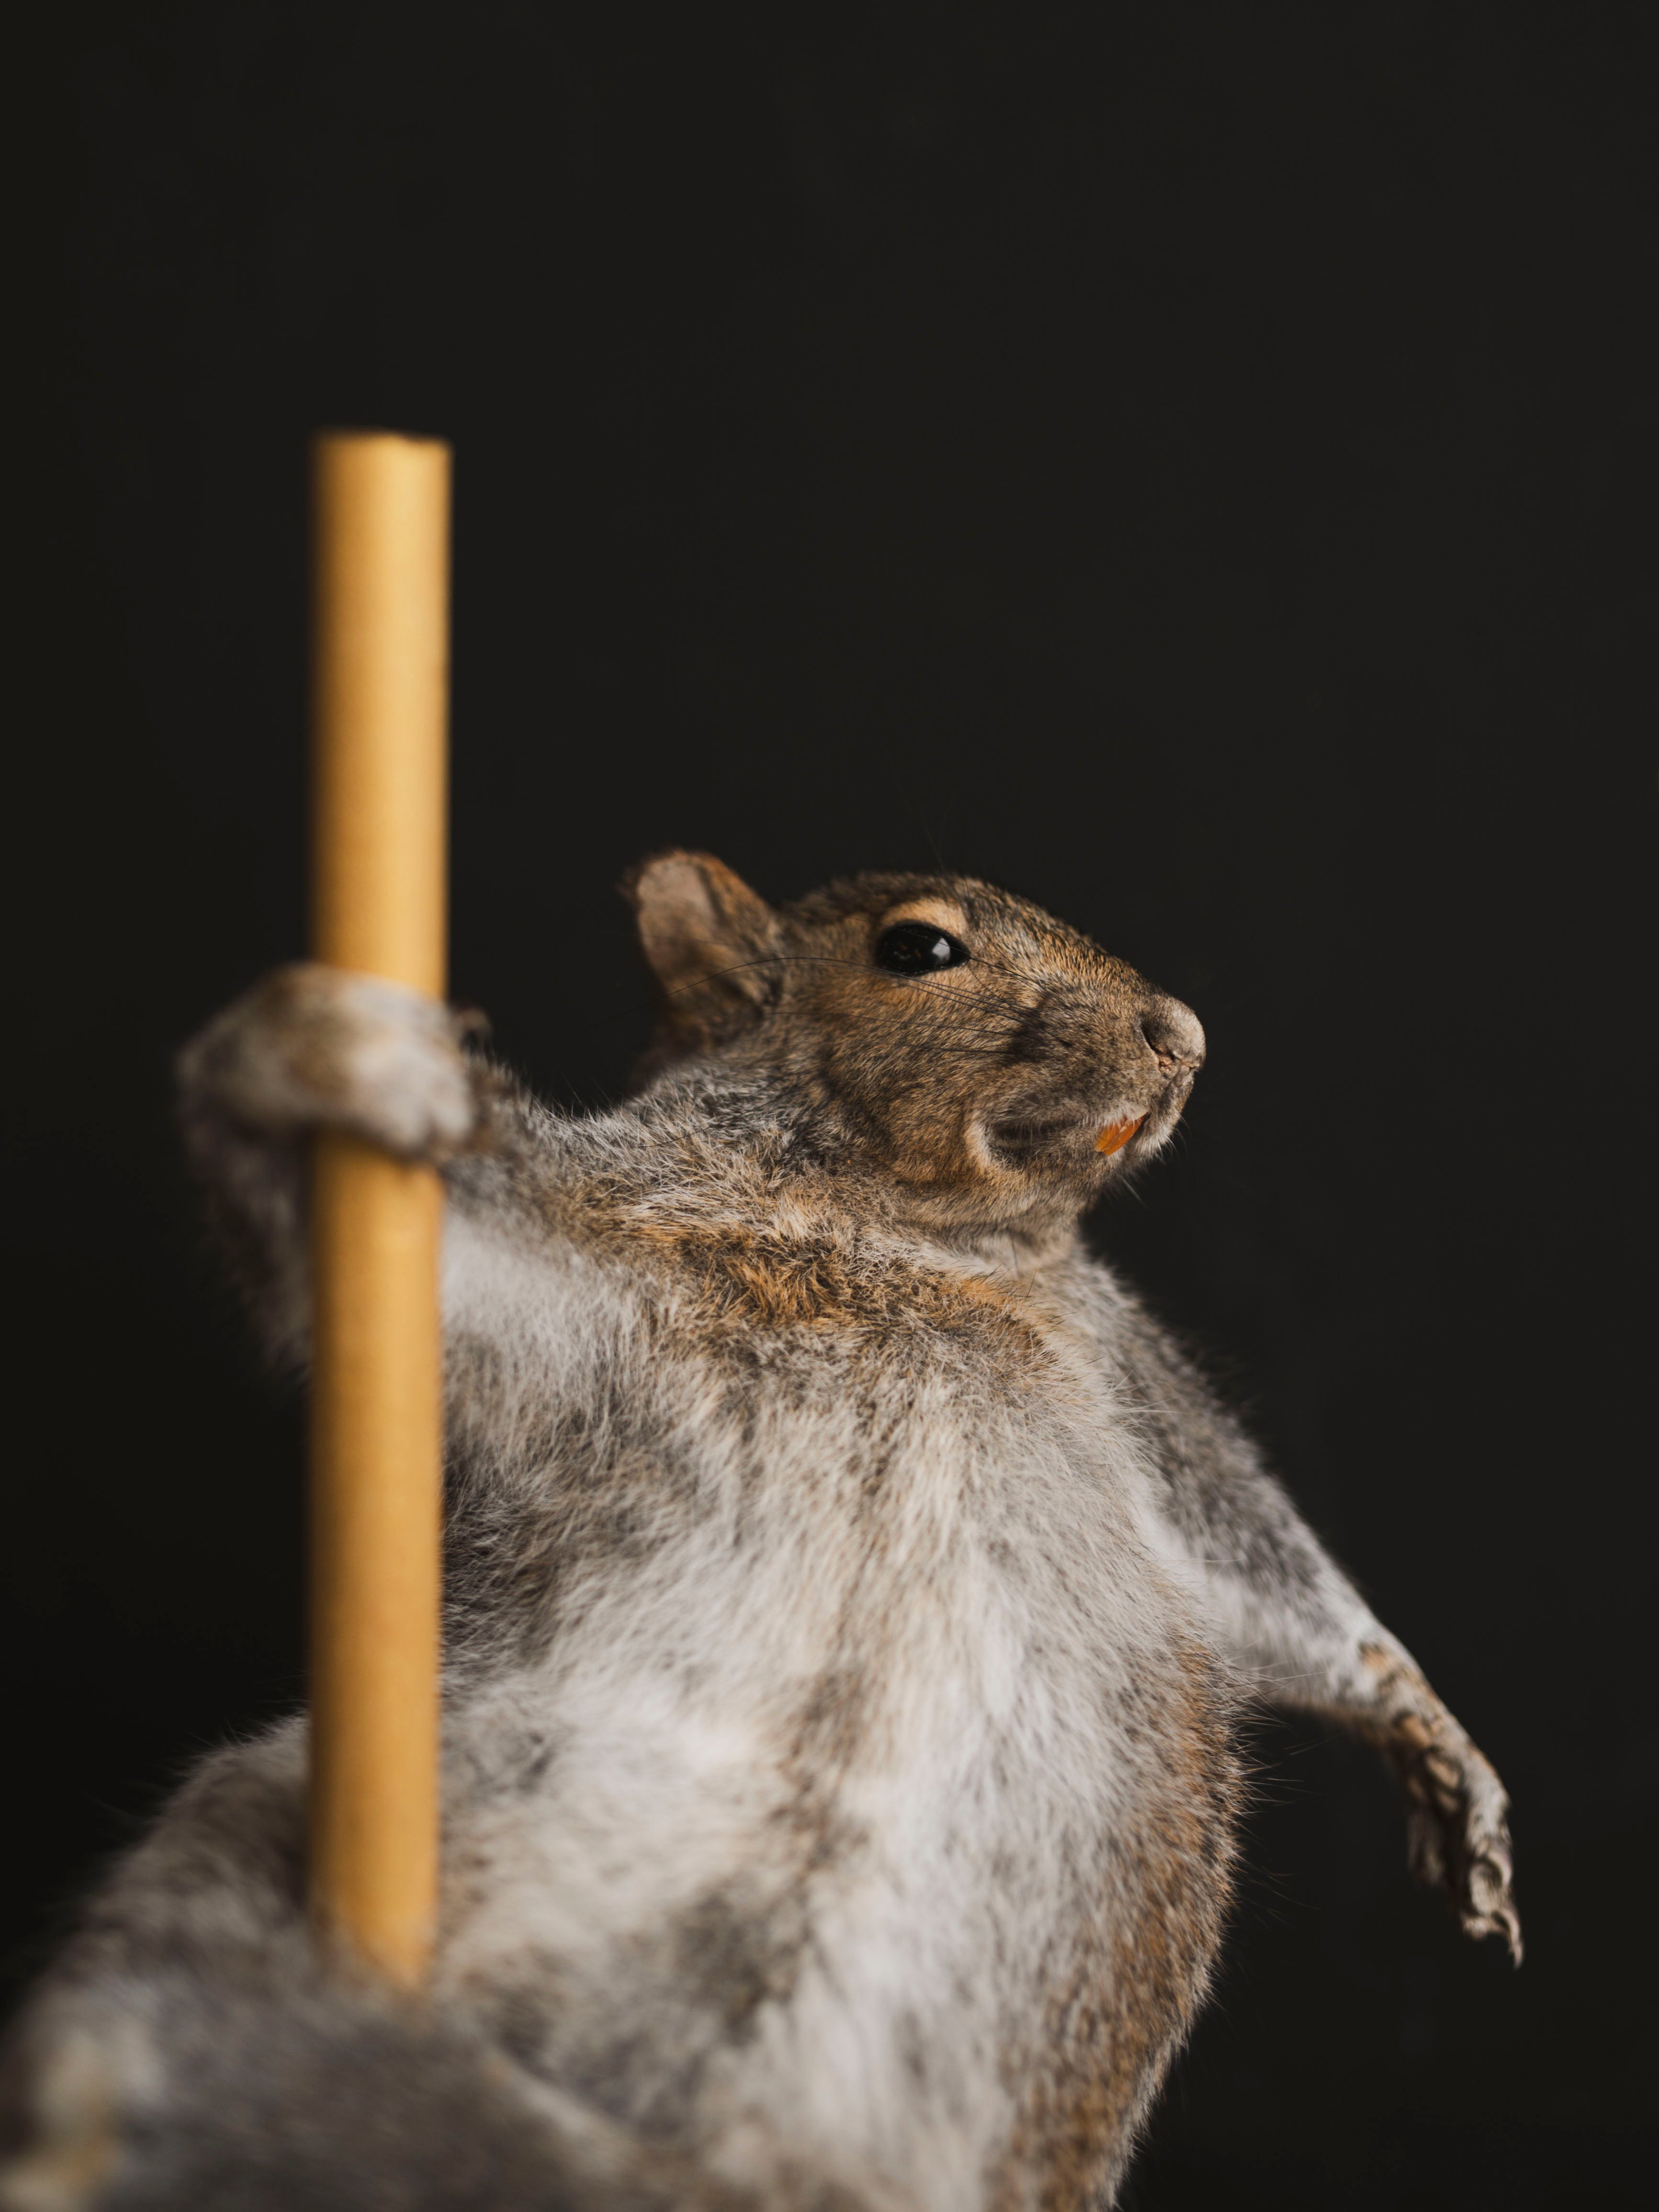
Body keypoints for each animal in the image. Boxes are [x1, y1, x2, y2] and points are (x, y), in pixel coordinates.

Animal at [0, 853, 1519, 2212]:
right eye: (918, 949)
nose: (1183, 1034)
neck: (890, 1227)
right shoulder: (591, 1244)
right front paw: (309, 1063)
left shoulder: (1127, 1375)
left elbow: (1251, 1552)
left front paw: (1432, 1739)